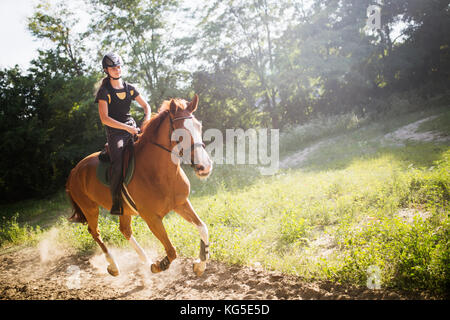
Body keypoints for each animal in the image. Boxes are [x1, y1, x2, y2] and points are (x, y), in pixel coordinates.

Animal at [66, 95, 214, 278]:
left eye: (199, 126)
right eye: (180, 131)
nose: (205, 167)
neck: (160, 173)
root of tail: (74, 171)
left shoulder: (181, 203)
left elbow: (203, 228)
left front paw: (200, 264)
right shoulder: (151, 218)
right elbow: (172, 251)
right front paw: (159, 265)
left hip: (123, 210)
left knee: (125, 230)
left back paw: (145, 260)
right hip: (90, 209)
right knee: (95, 232)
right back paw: (114, 266)